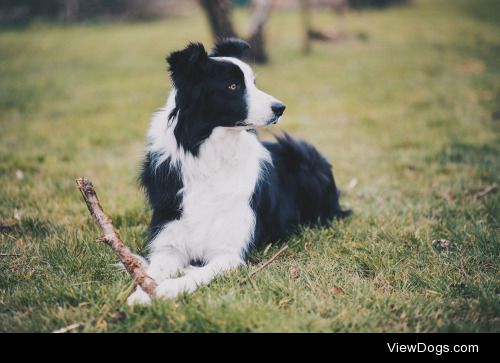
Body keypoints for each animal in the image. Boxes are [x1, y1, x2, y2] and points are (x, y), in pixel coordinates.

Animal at [127, 38, 350, 306]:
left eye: (253, 82)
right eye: (233, 86)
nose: (281, 108)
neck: (210, 159)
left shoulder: (229, 253)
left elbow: (199, 273)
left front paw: (170, 288)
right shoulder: (169, 239)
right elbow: (154, 270)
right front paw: (141, 294)